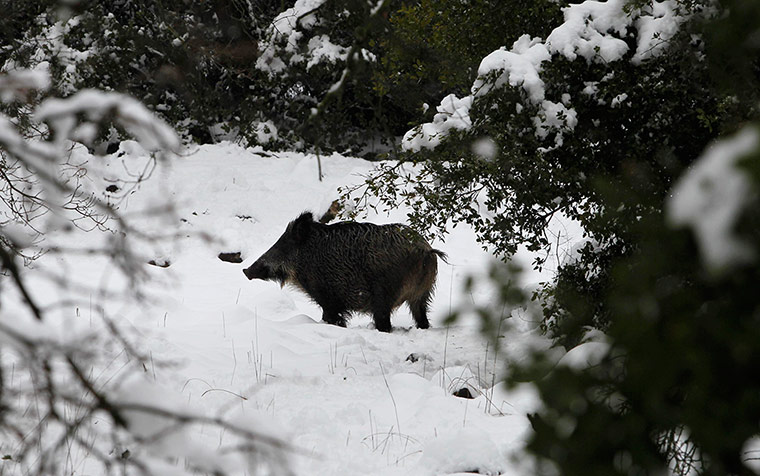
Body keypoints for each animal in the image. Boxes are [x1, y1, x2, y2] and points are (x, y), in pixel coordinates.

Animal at [243, 212, 446, 332]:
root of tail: (426, 250)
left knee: (384, 322)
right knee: (422, 318)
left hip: (384, 294)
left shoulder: (327, 297)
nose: (246, 270)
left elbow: (331, 318)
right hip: (423, 294)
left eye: (283, 244)